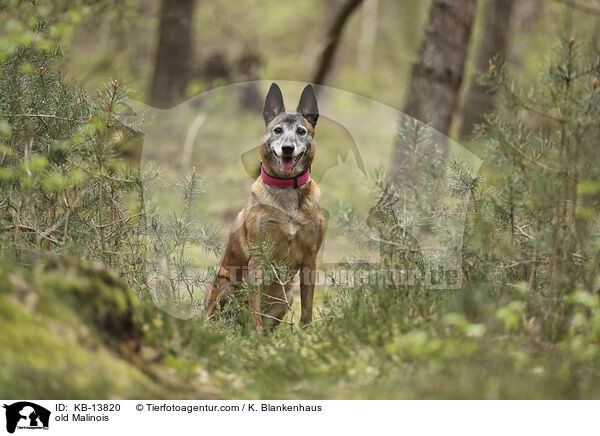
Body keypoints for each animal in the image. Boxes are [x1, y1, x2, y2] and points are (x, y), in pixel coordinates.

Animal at [207, 83, 328, 328]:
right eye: (277, 130)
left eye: (301, 131)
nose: (288, 148)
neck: (288, 190)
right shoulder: (258, 261)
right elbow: (255, 312)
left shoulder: (310, 261)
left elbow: (307, 309)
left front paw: (306, 334)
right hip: (225, 286)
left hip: (286, 297)